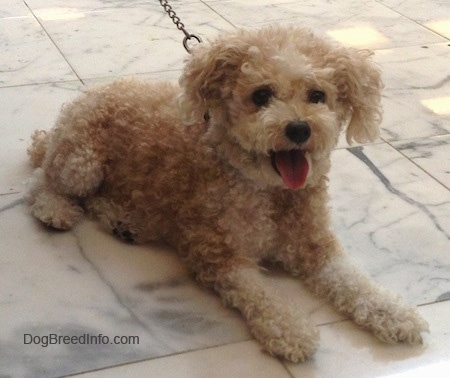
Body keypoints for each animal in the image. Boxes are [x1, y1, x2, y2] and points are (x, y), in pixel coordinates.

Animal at [27, 25, 428, 362]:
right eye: (261, 95)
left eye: (318, 95)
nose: (299, 129)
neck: (270, 191)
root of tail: (83, 99)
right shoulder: (219, 254)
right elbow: (261, 294)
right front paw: (291, 329)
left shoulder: (316, 246)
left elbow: (353, 280)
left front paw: (394, 313)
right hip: (81, 162)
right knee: (42, 181)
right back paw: (55, 209)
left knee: (92, 197)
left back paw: (121, 220)